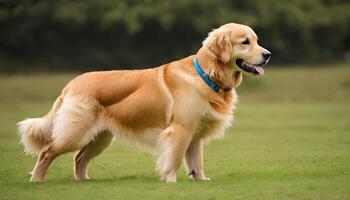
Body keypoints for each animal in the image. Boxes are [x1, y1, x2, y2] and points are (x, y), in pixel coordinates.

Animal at [18, 22, 270, 182]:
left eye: (257, 40)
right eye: (245, 42)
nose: (267, 55)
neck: (207, 75)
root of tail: (71, 83)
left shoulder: (195, 133)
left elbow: (196, 162)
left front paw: (199, 180)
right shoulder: (180, 130)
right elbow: (174, 158)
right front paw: (170, 180)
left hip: (100, 137)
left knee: (79, 158)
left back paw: (83, 181)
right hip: (75, 132)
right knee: (47, 152)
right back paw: (37, 180)